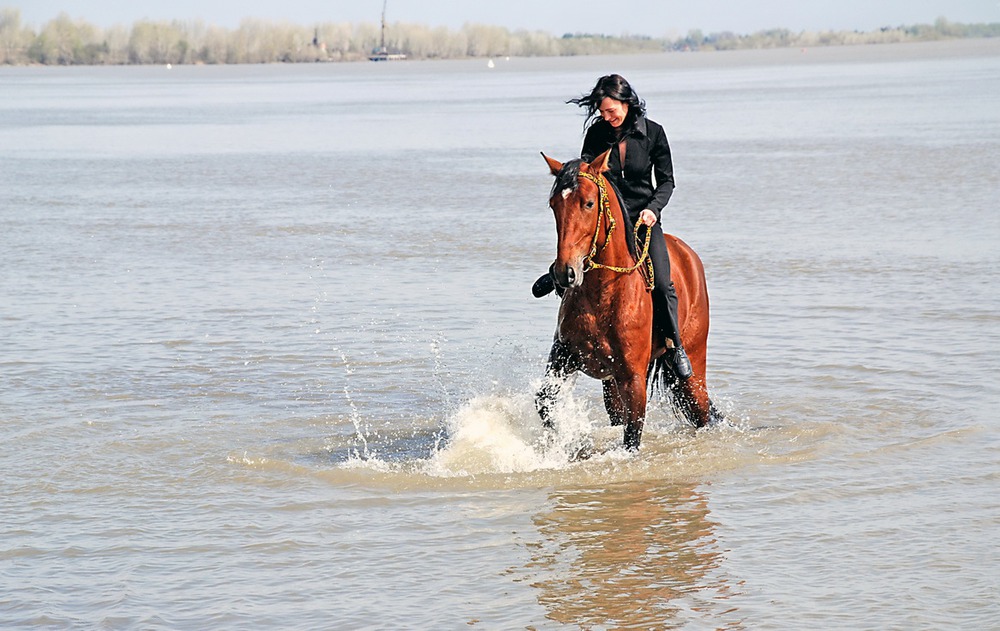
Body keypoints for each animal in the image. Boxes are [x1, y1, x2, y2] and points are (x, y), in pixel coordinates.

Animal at [536, 151, 716, 452]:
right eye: (553, 205)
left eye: (589, 203)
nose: (565, 272)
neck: (602, 296)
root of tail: (688, 255)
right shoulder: (564, 357)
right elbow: (545, 402)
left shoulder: (633, 380)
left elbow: (632, 437)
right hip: (611, 385)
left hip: (692, 370)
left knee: (702, 412)